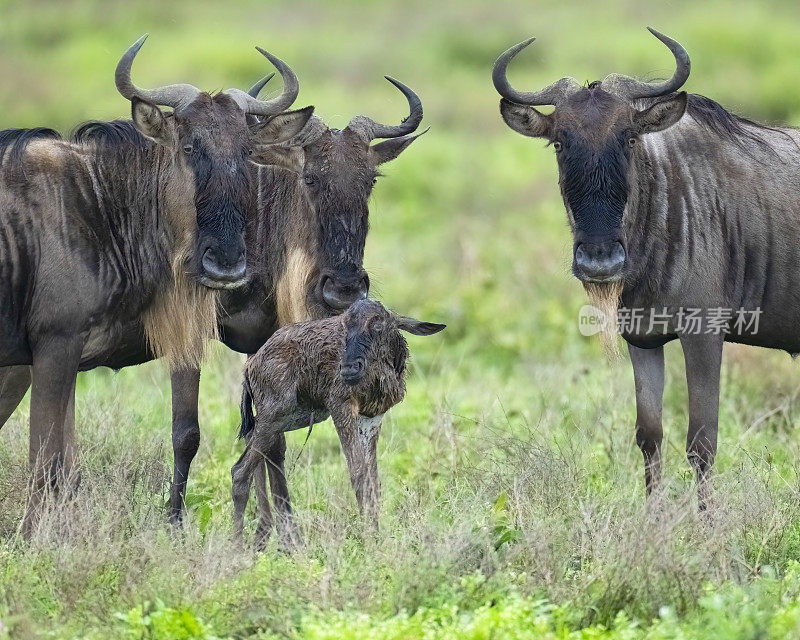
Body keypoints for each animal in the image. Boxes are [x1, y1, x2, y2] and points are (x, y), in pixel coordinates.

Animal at [233, 298, 444, 548]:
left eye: (378, 324)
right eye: (344, 326)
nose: (348, 369)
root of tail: (249, 368)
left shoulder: (371, 417)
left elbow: (373, 478)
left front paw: (376, 534)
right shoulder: (340, 405)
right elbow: (358, 473)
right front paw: (370, 540)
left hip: (288, 417)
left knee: (259, 452)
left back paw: (266, 540)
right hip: (275, 413)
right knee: (240, 470)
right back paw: (237, 546)